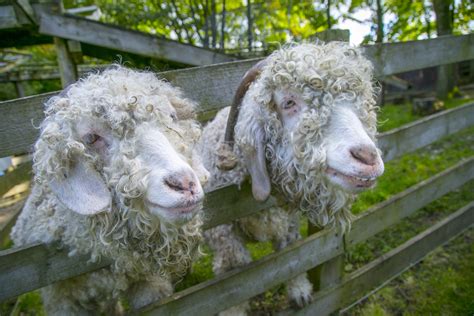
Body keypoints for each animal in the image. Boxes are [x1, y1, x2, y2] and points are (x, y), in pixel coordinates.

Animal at [196, 42, 386, 314]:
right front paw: (233, 310)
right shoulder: (221, 231)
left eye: (361, 104)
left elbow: (292, 259)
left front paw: (300, 293)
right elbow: (234, 273)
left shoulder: (290, 224)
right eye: (288, 102)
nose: (367, 157)